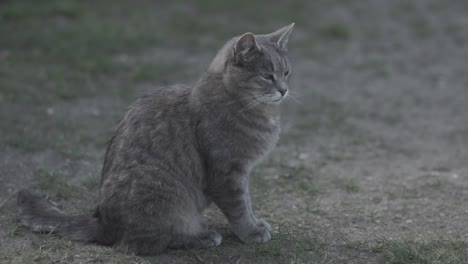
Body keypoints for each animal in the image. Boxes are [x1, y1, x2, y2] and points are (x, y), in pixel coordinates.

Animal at [19, 23, 296, 255]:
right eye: (267, 76)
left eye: (286, 72)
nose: (284, 90)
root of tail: (102, 223)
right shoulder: (227, 172)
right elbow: (239, 206)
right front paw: (251, 232)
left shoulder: (240, 172)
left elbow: (247, 201)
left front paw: (256, 223)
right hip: (166, 198)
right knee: (141, 243)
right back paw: (201, 236)